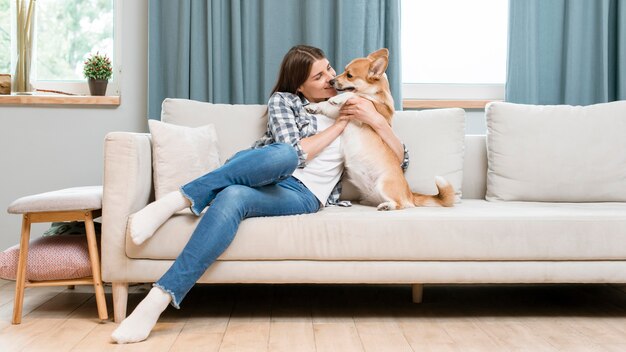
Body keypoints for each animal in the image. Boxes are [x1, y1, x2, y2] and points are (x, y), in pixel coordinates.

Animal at [304, 48, 450, 209]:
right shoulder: (339, 113)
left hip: (384, 184)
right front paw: (313, 106)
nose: (331, 81)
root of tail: (410, 194)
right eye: (343, 71)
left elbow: (357, 96)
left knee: (401, 205)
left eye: (349, 75)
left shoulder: (373, 108)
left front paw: (337, 98)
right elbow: (328, 106)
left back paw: (387, 206)